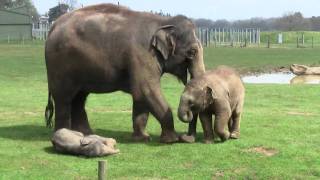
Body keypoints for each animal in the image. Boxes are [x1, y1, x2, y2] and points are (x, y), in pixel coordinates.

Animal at [44, 3, 205, 143]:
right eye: (192, 52)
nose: (186, 137)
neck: (163, 22)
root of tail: (52, 26)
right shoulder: (143, 54)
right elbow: (147, 91)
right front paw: (171, 140)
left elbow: (141, 97)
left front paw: (142, 138)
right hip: (60, 66)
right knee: (64, 99)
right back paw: (64, 134)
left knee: (79, 98)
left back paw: (86, 134)